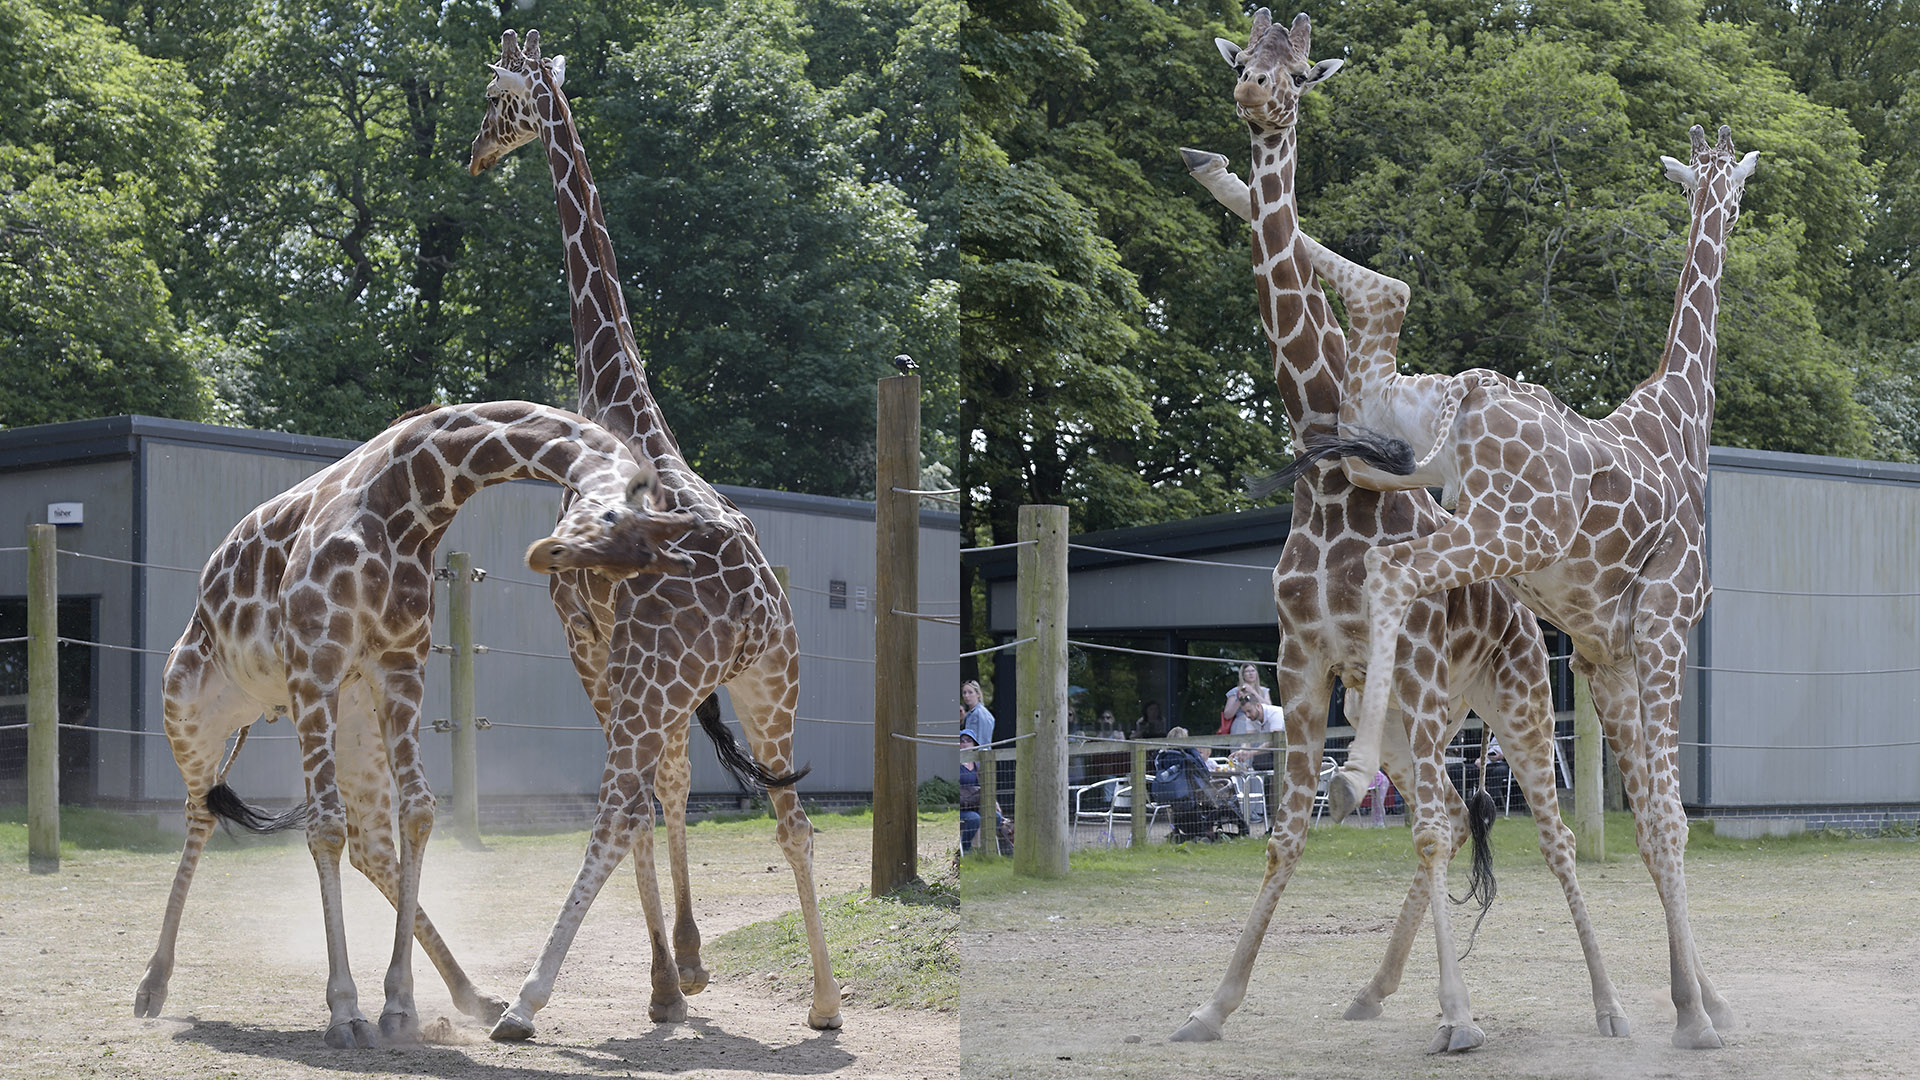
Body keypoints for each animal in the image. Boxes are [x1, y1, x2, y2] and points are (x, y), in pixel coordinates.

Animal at [133, 400, 700, 1047]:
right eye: (607, 517)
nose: (546, 555)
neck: (409, 506)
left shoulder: (401, 667)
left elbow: (419, 812)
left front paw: (398, 1005)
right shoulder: (315, 664)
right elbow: (323, 828)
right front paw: (345, 1012)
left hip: (354, 723)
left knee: (371, 848)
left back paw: (472, 994)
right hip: (189, 710)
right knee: (200, 814)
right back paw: (152, 987)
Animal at [466, 29, 842, 1038]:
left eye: (496, 99)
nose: (474, 154)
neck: (617, 398)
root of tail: (754, 611)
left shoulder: (585, 632)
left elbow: (646, 801)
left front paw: (670, 983)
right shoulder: (669, 679)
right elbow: (682, 788)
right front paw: (689, 967)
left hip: (655, 682)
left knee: (617, 805)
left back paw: (525, 1001)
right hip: (769, 685)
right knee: (789, 815)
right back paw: (827, 1005)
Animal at [1166, 10, 1623, 1052]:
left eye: (1301, 74)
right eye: (1243, 59)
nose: (1255, 97)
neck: (1331, 483)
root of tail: (1520, 620)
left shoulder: (1395, 658)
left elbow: (1417, 832)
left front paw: (1459, 1020)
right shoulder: (1302, 662)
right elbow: (1286, 831)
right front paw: (1212, 1006)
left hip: (1508, 704)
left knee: (1539, 829)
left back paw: (1610, 1004)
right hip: (1431, 718)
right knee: (1449, 812)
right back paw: (1373, 991)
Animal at [1267, 122, 1758, 1048]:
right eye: (1736, 189)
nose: (1735, 203)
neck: (1681, 420)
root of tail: (1467, 398)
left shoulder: (1605, 656)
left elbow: (1650, 829)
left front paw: (1700, 999)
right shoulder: (1665, 627)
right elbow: (1671, 820)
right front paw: (1697, 1017)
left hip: (1402, 449)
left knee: (1365, 364)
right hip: (1503, 530)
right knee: (1394, 575)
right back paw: (1351, 780)